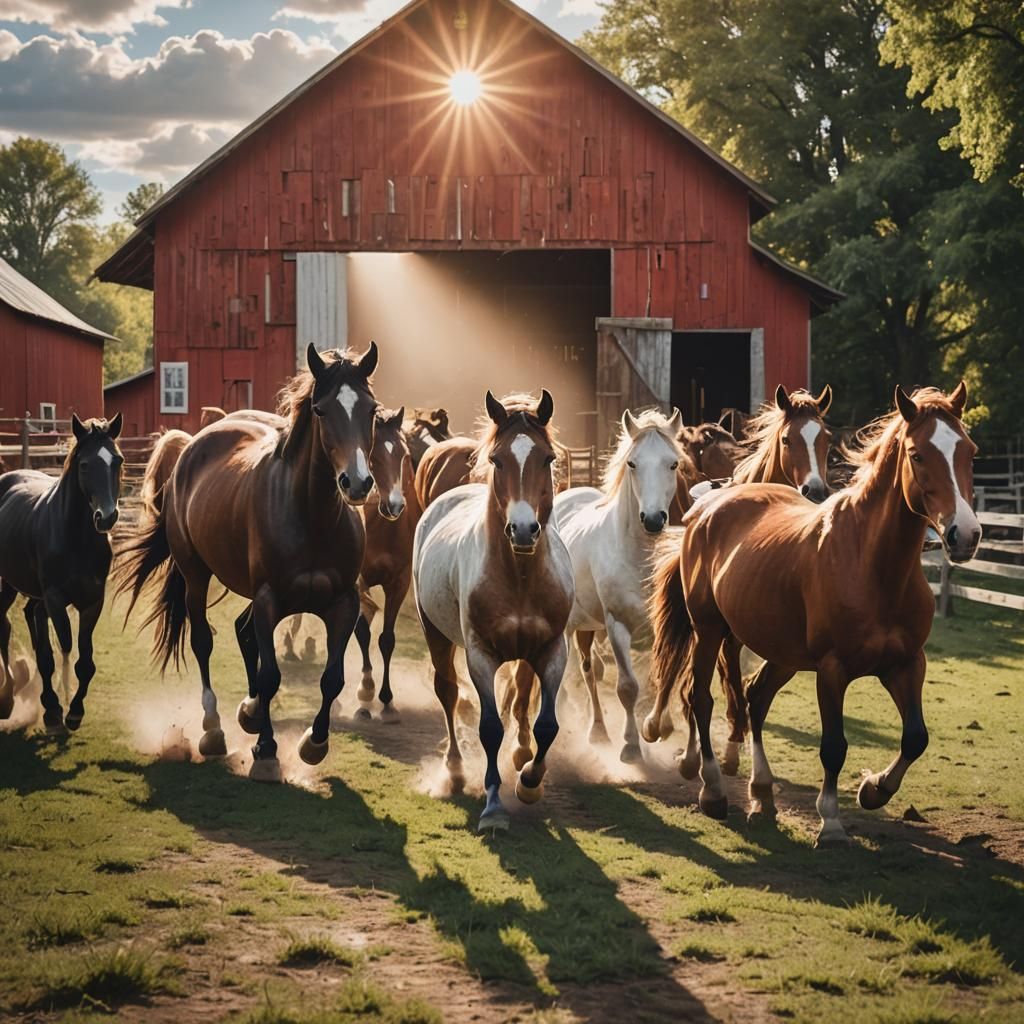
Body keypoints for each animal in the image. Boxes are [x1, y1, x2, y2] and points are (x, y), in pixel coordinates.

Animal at [0, 414, 124, 730]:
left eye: (117, 461)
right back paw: (8, 697)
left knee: (31, 616)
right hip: (7, 585)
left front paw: (74, 710)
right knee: (4, 627)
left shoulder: (92, 601)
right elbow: (61, 650)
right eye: (85, 465)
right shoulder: (56, 599)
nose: (106, 517)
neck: (75, 537)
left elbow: (84, 660)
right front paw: (58, 706)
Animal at [116, 343, 379, 780]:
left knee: (243, 632)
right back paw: (213, 730)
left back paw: (250, 713)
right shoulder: (270, 599)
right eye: (321, 410)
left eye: (372, 409)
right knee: (204, 641)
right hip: (196, 575)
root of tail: (193, 444)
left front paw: (313, 743)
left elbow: (332, 678)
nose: (356, 483)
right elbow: (270, 674)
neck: (312, 517)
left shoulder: (343, 603)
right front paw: (267, 750)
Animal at [413, 390, 574, 831]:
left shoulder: (553, 650)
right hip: (435, 634)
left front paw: (530, 782)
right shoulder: (480, 655)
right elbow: (489, 728)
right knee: (448, 693)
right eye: (498, 460)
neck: (519, 577)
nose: (523, 530)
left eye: (547, 459)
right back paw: (454, 770)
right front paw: (494, 807)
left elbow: (547, 724)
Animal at [533, 408, 684, 763]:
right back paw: (588, 727)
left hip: (589, 626)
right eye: (632, 463)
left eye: (673, 463)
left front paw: (658, 727)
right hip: (571, 626)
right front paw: (631, 745)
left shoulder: (662, 627)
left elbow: (662, 677)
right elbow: (627, 687)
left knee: (591, 669)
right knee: (581, 670)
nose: (653, 520)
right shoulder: (617, 625)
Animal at [645, 383, 980, 844]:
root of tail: (707, 507)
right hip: (710, 630)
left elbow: (916, 738)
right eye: (917, 454)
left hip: (781, 652)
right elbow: (833, 746)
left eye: (969, 450)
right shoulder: (832, 669)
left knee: (755, 697)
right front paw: (832, 821)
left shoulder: (907, 663)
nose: (965, 535)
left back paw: (762, 793)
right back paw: (712, 788)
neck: (872, 563)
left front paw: (873, 789)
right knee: (701, 697)